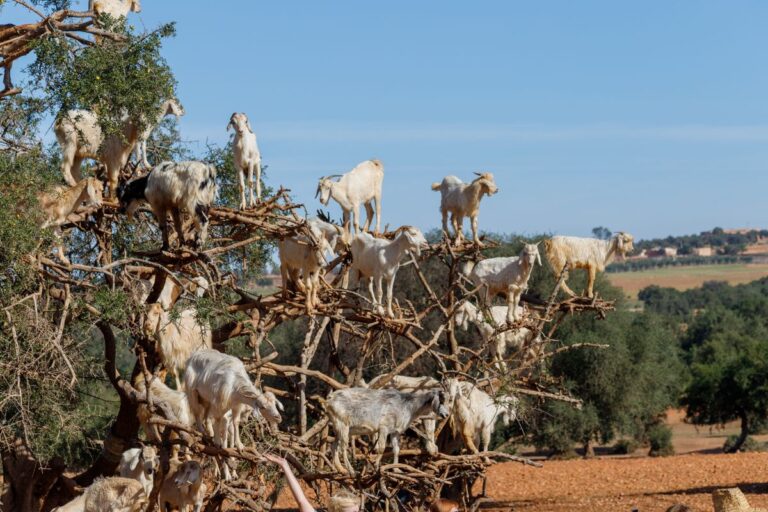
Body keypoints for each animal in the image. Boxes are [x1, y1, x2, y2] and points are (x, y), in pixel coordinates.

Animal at [54, 99, 183, 196]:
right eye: (137, 117)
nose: (183, 112)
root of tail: (59, 121)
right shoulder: (113, 158)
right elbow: (114, 178)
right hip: (70, 141)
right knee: (65, 166)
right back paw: (73, 184)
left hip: (79, 151)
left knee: (74, 169)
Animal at [184, 349, 282, 480]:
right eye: (262, 407)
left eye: (275, 404)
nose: (278, 418)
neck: (235, 384)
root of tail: (193, 356)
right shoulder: (220, 405)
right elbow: (220, 426)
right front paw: (218, 443)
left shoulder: (236, 406)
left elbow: (236, 423)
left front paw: (239, 446)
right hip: (193, 393)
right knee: (197, 414)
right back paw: (203, 433)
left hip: (207, 400)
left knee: (206, 418)